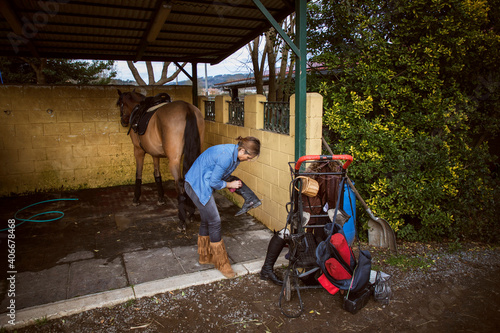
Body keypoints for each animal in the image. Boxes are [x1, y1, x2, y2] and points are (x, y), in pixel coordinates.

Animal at [116, 88, 204, 230]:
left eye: (120, 104)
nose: (123, 121)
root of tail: (187, 108)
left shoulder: (138, 150)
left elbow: (138, 174)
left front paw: (136, 198)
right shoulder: (155, 154)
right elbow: (157, 174)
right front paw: (161, 197)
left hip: (174, 160)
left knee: (179, 185)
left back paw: (182, 220)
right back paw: (191, 213)